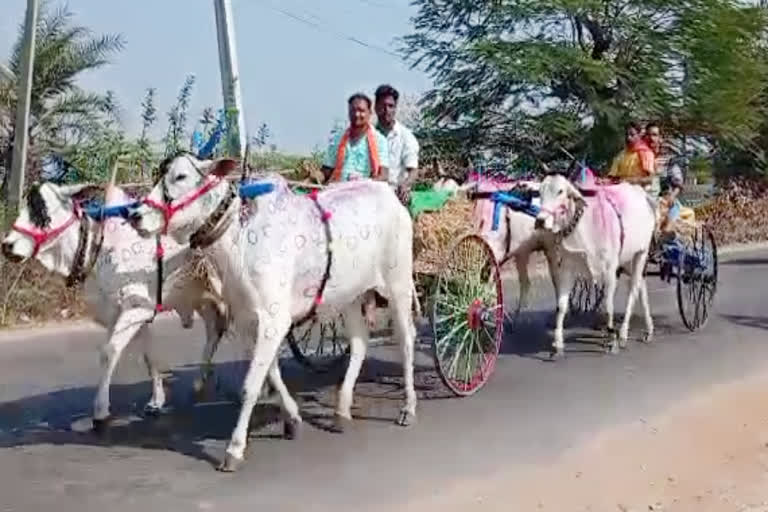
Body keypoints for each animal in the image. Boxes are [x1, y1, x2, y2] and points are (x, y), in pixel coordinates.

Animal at [0, 182, 284, 426]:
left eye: (42, 210)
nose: (7, 245)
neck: (101, 250)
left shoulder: (135, 309)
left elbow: (109, 353)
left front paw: (101, 410)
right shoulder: (127, 314)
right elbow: (148, 355)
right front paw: (156, 400)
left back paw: (263, 385)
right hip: (202, 297)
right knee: (215, 330)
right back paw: (202, 382)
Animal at [130, 155, 420, 472]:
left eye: (180, 176)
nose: (135, 215)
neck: (239, 242)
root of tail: (390, 194)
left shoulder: (274, 321)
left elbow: (251, 386)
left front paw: (234, 450)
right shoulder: (248, 322)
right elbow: (271, 373)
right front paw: (292, 418)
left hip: (398, 284)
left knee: (407, 339)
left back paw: (408, 407)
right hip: (351, 296)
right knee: (359, 343)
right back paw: (342, 410)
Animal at [536, 175, 656, 356]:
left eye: (560, 191)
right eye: (540, 191)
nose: (540, 220)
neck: (582, 228)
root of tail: (642, 193)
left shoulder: (610, 270)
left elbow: (608, 306)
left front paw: (612, 340)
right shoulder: (565, 269)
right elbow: (561, 307)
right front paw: (558, 344)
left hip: (641, 253)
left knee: (633, 290)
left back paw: (623, 334)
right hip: (628, 260)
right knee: (642, 288)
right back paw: (648, 330)